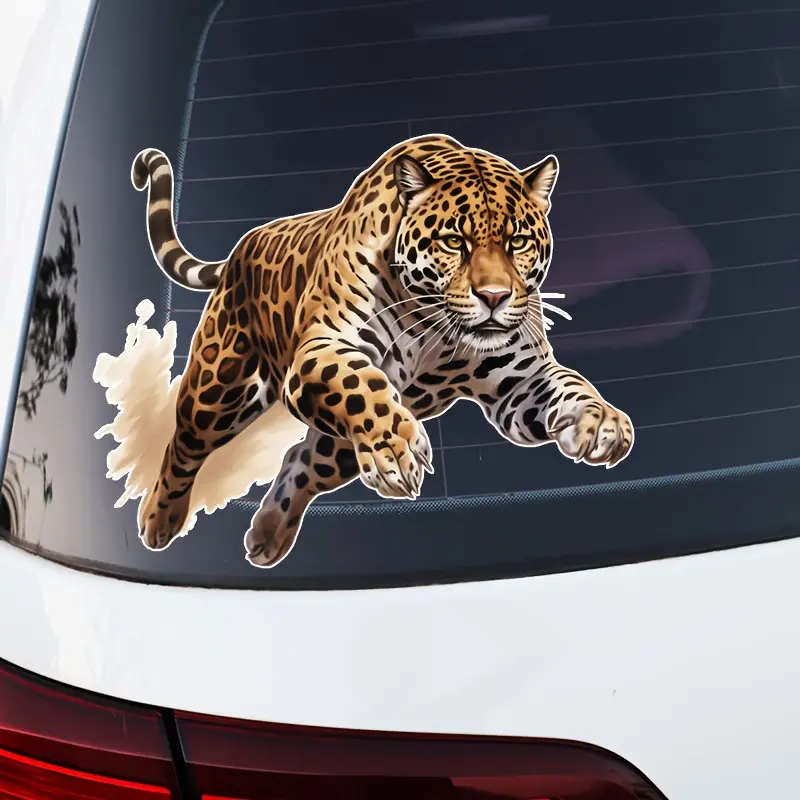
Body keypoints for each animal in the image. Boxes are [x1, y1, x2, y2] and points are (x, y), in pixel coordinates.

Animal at [131, 133, 634, 568]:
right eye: (455, 241)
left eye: (518, 243)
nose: (494, 296)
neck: (435, 326)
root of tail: (243, 245)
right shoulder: (325, 348)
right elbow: (361, 383)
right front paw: (397, 444)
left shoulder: (518, 384)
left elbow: (571, 384)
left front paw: (602, 422)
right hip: (219, 388)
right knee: (183, 446)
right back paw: (157, 522)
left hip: (338, 447)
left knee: (301, 460)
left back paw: (269, 534)